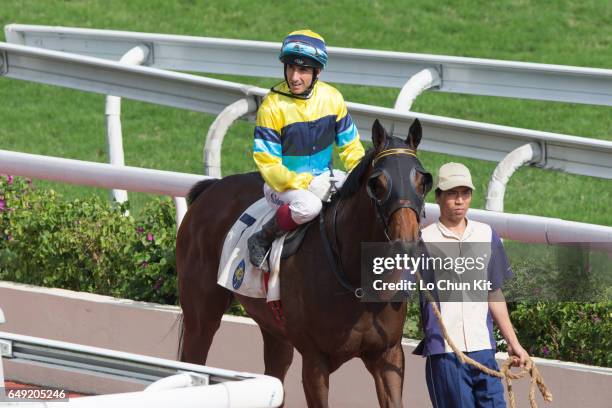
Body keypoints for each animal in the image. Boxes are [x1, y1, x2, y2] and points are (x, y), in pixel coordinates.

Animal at [176, 117, 436, 404]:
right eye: (377, 183)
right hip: (202, 315)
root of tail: (211, 188)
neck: (355, 277)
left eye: (423, 181)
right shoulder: (315, 360)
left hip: (274, 330)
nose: (407, 242)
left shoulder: (388, 355)